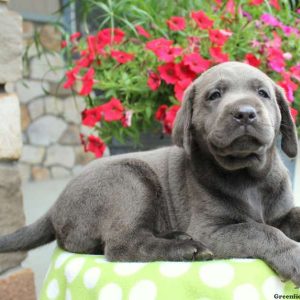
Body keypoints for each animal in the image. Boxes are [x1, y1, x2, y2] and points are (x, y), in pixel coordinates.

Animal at [0, 61, 300, 284]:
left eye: (263, 93)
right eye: (214, 95)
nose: (245, 113)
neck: (249, 177)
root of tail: (55, 207)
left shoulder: (281, 212)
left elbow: (286, 218)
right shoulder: (211, 230)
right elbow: (259, 231)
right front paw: (293, 256)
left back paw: (177, 237)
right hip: (129, 182)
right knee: (122, 246)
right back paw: (186, 248)